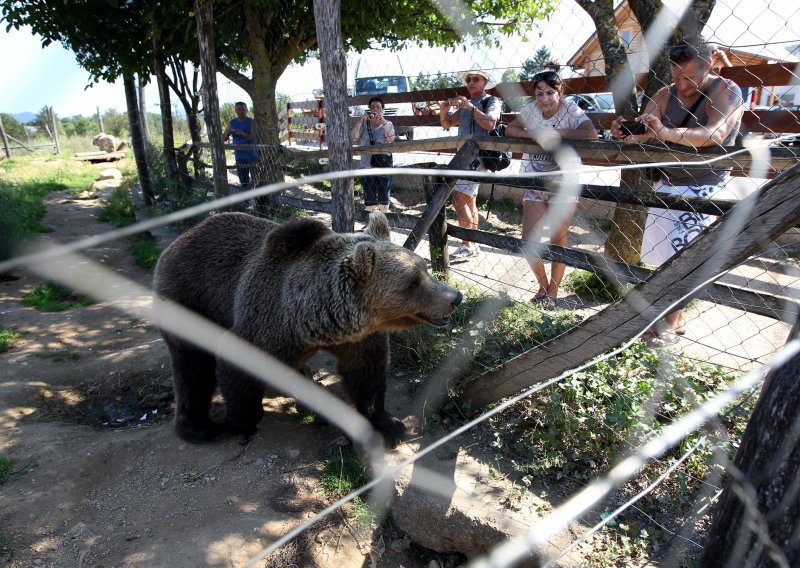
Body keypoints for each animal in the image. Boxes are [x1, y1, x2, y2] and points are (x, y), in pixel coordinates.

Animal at [152, 211, 460, 446]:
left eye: (424, 267)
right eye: (413, 282)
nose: (455, 297)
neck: (314, 320)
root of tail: (177, 241)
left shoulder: (357, 338)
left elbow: (366, 372)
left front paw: (389, 424)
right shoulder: (265, 322)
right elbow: (237, 363)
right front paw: (242, 420)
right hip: (189, 298)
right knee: (192, 365)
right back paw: (201, 428)